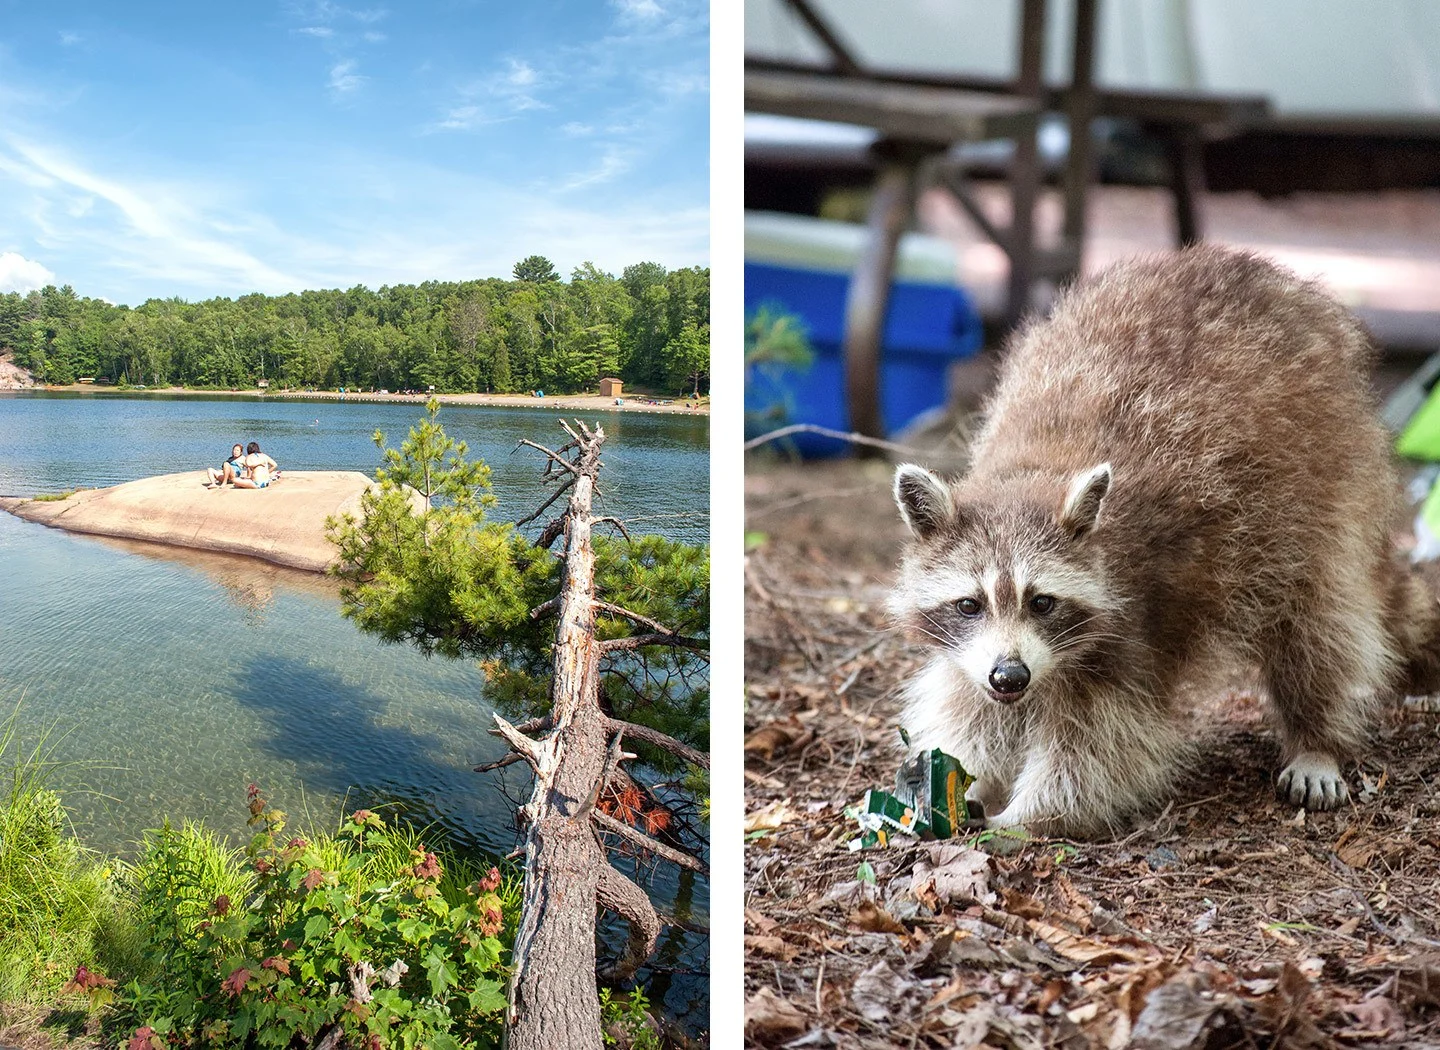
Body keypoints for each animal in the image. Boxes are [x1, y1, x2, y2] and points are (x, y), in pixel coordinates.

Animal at [887, 243, 1440, 835]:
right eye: (969, 604)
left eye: (1042, 602)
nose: (1011, 676)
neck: (1029, 476)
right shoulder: (973, 652)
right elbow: (970, 705)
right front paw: (966, 777)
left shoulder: (1131, 628)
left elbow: (1098, 747)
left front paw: (1028, 815)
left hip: (1325, 484)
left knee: (1316, 623)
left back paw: (1316, 736)